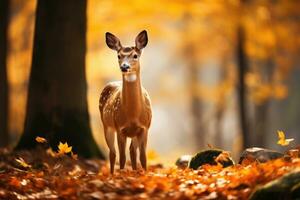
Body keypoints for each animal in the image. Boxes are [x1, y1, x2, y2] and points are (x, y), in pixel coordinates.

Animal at [100, 29, 152, 173]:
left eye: (135, 55)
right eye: (119, 56)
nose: (124, 66)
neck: (133, 115)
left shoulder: (144, 128)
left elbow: (143, 157)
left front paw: (145, 174)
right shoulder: (119, 128)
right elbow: (122, 158)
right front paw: (122, 174)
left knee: (132, 151)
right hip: (106, 125)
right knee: (113, 153)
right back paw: (112, 174)